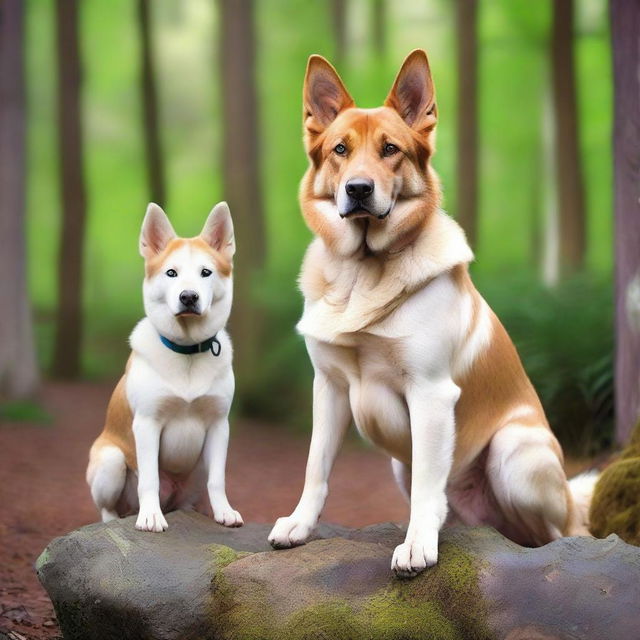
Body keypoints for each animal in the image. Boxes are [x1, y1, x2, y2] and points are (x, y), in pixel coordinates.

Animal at [87, 202, 242, 532]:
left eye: (206, 272)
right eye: (171, 273)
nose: (189, 296)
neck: (187, 351)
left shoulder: (219, 425)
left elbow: (218, 480)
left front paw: (225, 511)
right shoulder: (147, 424)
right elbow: (149, 479)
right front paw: (150, 517)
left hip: (197, 469)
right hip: (110, 461)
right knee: (109, 508)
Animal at [268, 52, 592, 576]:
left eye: (390, 149)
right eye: (340, 149)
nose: (358, 189)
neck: (363, 271)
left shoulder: (431, 393)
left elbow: (426, 485)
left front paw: (417, 546)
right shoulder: (330, 388)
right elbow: (316, 465)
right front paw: (299, 525)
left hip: (514, 453)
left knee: (562, 532)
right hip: (405, 465)